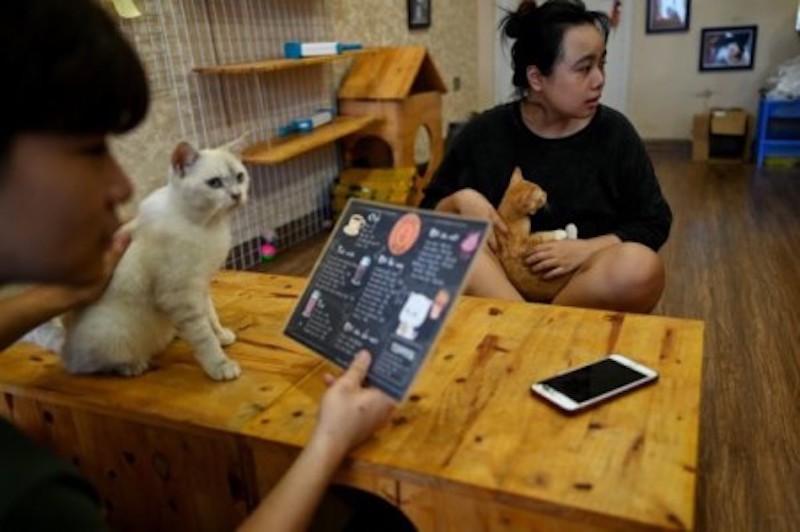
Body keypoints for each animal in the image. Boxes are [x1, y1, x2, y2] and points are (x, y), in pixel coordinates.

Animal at [61, 141, 250, 380]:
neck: (205, 225)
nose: (237, 194)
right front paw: (220, 366)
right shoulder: (179, 295)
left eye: (240, 177)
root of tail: (66, 349)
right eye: (214, 183)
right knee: (92, 366)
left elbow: (211, 317)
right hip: (114, 333)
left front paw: (222, 336)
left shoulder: (200, 286)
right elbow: (203, 337)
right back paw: (132, 366)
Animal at [494, 168, 576, 306]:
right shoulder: (520, 246)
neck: (509, 217)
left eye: (542, 189)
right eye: (541, 197)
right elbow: (539, 236)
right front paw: (559, 233)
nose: (546, 193)